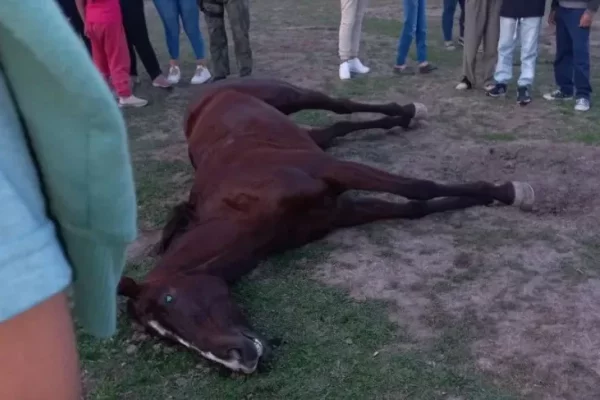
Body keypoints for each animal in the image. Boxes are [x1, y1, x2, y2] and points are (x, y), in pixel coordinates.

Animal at [117, 79, 536, 376]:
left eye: (170, 300)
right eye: (167, 339)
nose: (237, 361)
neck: (242, 206)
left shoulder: (333, 171)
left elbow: (418, 187)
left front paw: (509, 191)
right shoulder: (341, 211)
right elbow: (415, 208)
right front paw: (487, 197)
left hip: (288, 95)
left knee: (339, 105)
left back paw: (408, 110)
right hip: (307, 135)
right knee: (336, 127)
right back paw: (402, 119)